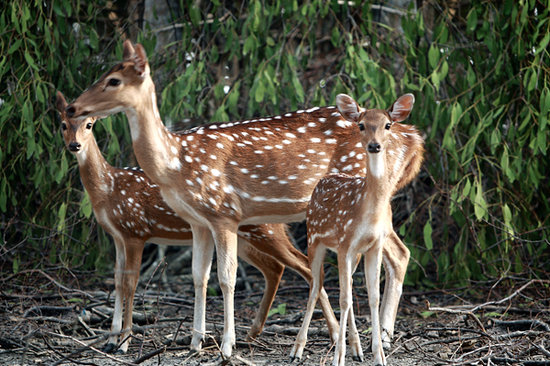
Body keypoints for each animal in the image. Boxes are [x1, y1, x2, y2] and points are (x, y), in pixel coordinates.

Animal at [55, 92, 328, 354]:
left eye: (89, 124)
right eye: (63, 124)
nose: (74, 145)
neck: (108, 190)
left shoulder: (135, 231)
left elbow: (130, 284)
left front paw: (123, 343)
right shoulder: (117, 237)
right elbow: (118, 283)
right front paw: (110, 341)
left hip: (263, 231)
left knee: (303, 266)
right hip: (244, 238)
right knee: (275, 268)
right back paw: (253, 333)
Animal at [292, 93, 424, 366]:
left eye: (388, 125)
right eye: (361, 125)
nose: (374, 145)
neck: (367, 212)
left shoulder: (372, 246)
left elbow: (372, 297)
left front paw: (379, 355)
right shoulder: (344, 244)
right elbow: (344, 299)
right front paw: (338, 358)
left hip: (350, 253)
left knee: (346, 286)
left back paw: (356, 349)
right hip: (314, 239)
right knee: (315, 288)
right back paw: (296, 350)